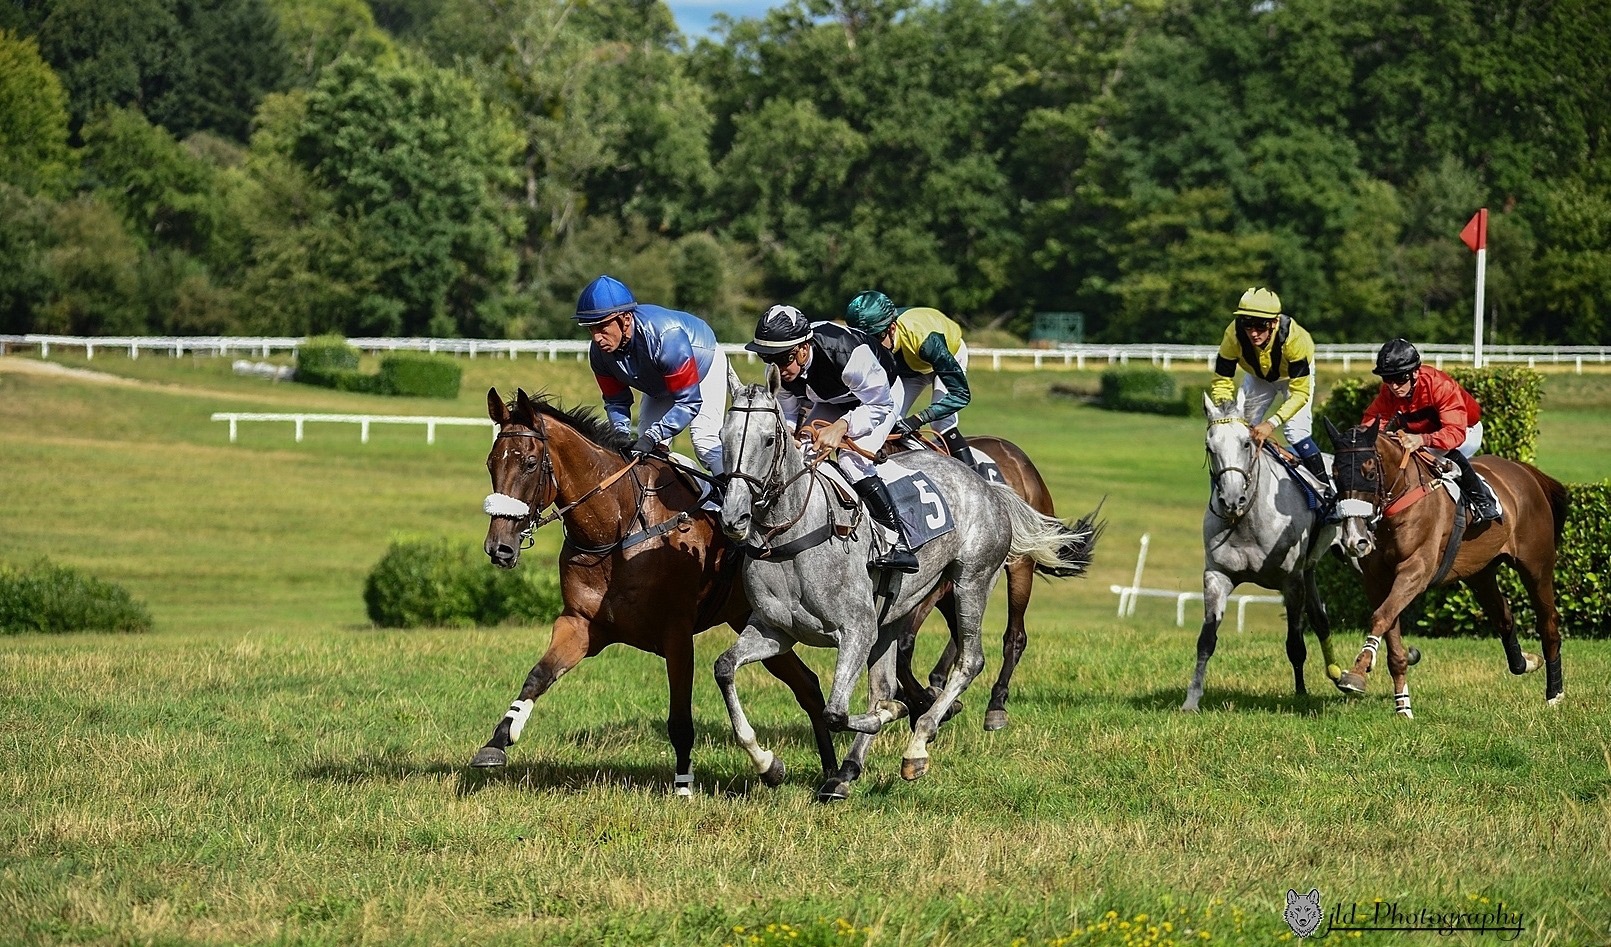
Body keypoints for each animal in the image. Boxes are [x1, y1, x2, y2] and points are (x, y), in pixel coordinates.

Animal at [470, 384, 837, 792]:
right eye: (491, 463)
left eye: (531, 463)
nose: (499, 548)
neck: (617, 531)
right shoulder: (581, 624)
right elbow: (537, 676)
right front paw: (497, 741)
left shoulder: (676, 634)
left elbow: (680, 718)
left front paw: (684, 784)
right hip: (754, 620)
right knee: (807, 685)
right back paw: (821, 771)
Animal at [1185, 391, 1346, 708]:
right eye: (1210, 447)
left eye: (1246, 443)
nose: (1231, 499)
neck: (1246, 520)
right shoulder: (1217, 576)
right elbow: (1206, 640)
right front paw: (1192, 699)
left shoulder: (1291, 581)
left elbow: (1295, 643)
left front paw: (1301, 693)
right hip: (1310, 569)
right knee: (1321, 619)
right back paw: (1338, 673)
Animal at [1314, 418, 1565, 715]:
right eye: (1336, 475)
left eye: (1370, 472)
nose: (1356, 540)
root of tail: (1525, 472)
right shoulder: (1377, 580)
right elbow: (1389, 630)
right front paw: (1403, 706)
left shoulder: (1416, 571)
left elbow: (1380, 617)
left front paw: (1357, 673)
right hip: (1480, 574)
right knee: (1504, 617)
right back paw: (1526, 662)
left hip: (1536, 566)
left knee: (1548, 623)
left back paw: (1555, 694)